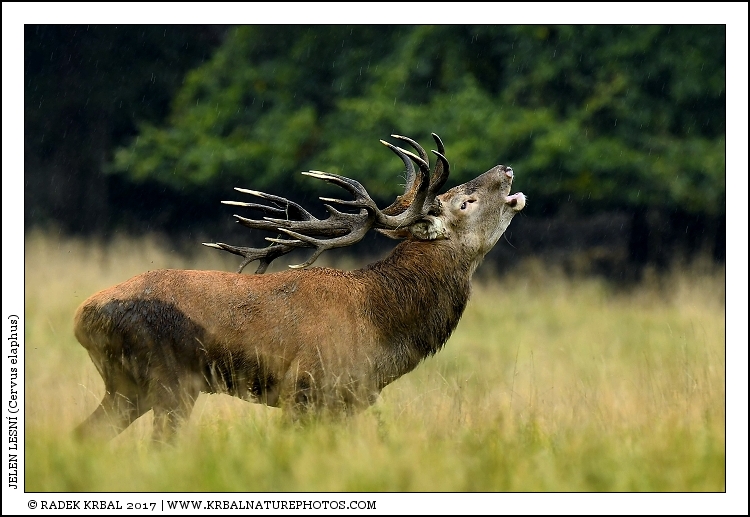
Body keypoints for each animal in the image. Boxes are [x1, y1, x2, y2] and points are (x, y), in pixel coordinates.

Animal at [73, 133, 526, 442]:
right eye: (463, 202)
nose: (505, 169)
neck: (381, 326)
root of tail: (81, 319)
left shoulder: (348, 401)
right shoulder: (308, 389)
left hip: (129, 386)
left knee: (86, 434)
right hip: (170, 380)